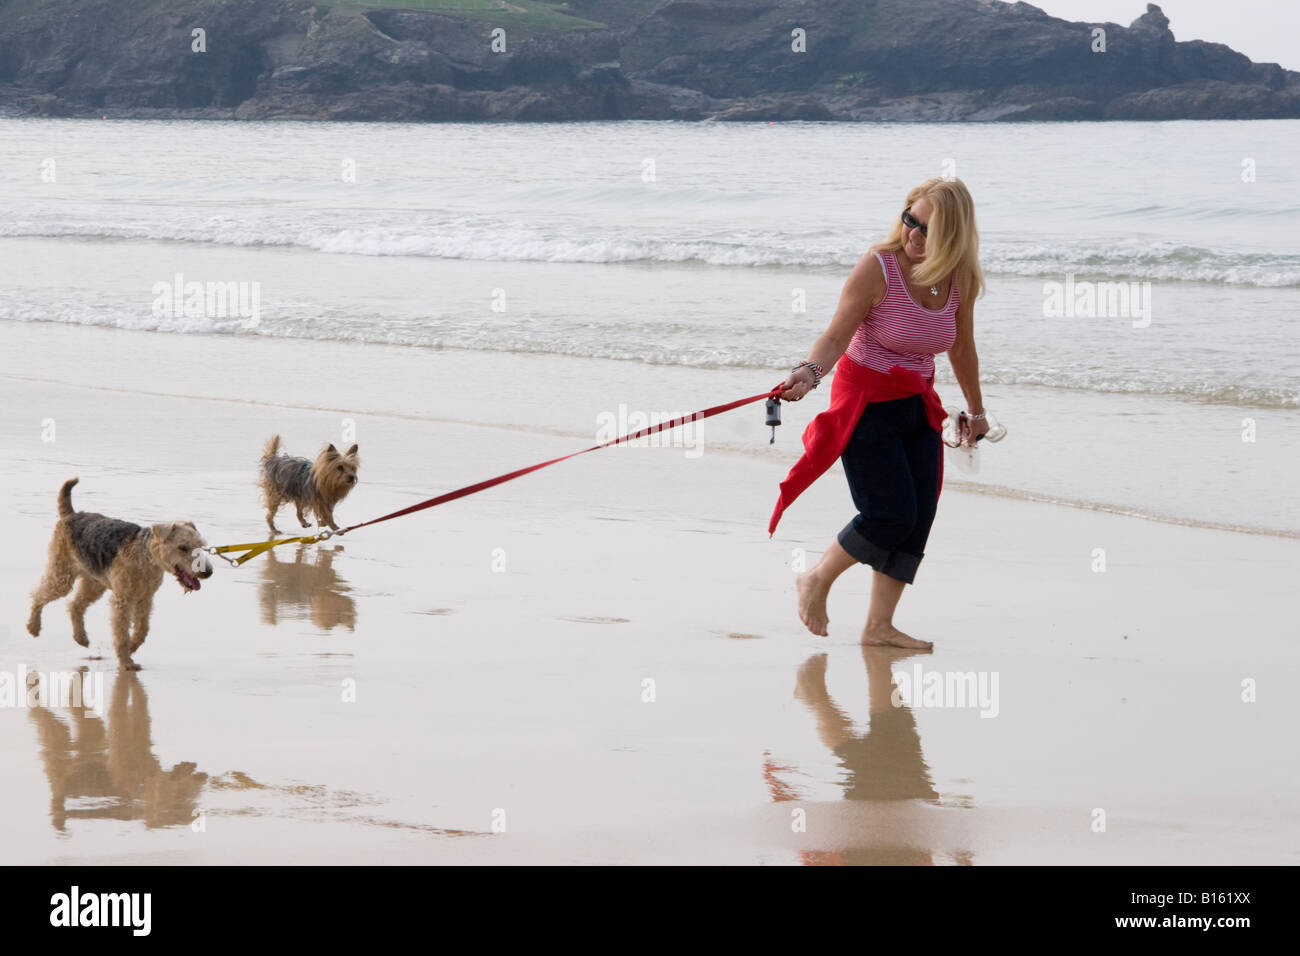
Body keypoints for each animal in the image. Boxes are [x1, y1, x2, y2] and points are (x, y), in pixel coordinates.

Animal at [26, 478, 214, 671]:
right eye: (182, 547)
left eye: (200, 545)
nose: (208, 572)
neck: (146, 556)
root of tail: (72, 515)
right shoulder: (122, 600)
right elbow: (122, 633)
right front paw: (126, 662)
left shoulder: (145, 599)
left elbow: (142, 629)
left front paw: (131, 647)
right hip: (62, 576)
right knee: (38, 595)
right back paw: (33, 627)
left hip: (94, 584)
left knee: (74, 605)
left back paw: (81, 638)